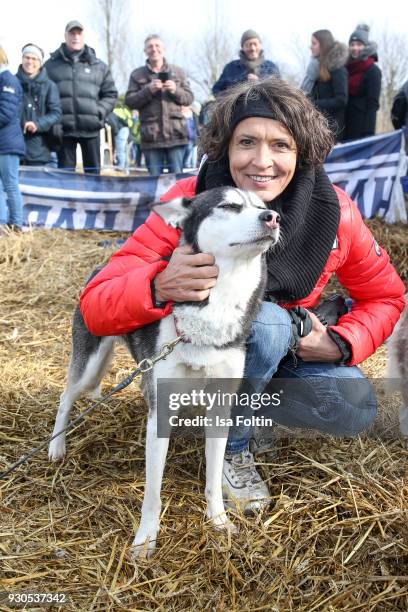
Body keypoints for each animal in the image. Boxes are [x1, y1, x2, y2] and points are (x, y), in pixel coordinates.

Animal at [48, 188, 280, 560]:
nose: (272, 218)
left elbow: (213, 480)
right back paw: (56, 445)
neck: (217, 304)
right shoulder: (160, 417)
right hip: (90, 363)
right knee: (66, 396)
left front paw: (218, 521)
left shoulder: (220, 409)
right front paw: (145, 540)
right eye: (229, 206)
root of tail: (102, 265)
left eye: (262, 206)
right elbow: (152, 494)